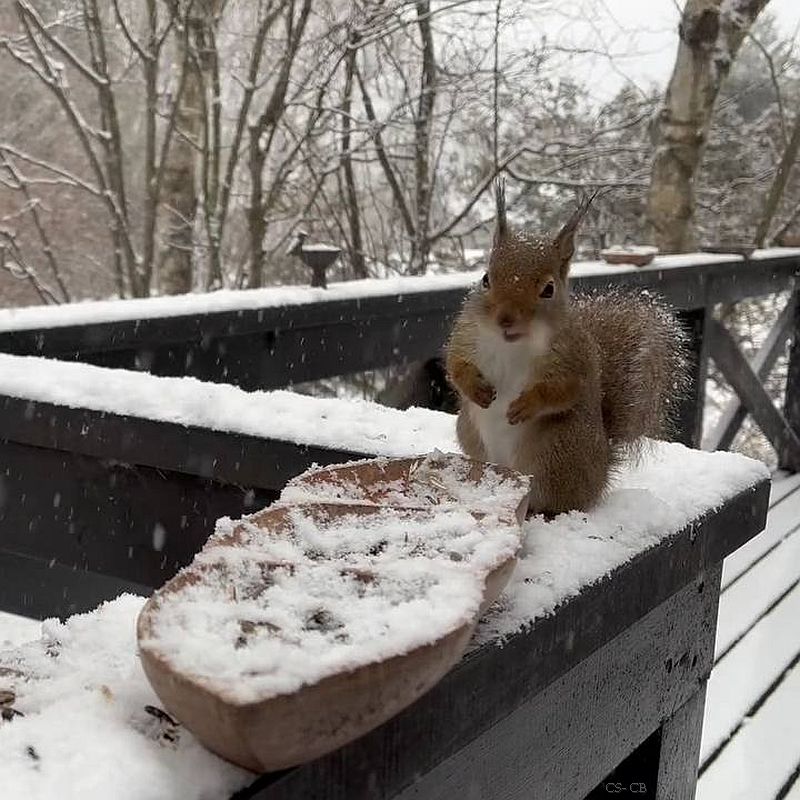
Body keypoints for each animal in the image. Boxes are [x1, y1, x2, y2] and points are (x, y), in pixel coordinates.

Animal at [445, 182, 688, 515]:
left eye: (548, 289)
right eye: (486, 279)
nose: (505, 319)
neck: (512, 344)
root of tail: (601, 472)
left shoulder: (573, 357)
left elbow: (564, 390)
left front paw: (526, 405)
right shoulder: (467, 334)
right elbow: (456, 365)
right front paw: (476, 389)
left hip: (556, 454)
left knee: (555, 500)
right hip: (470, 435)